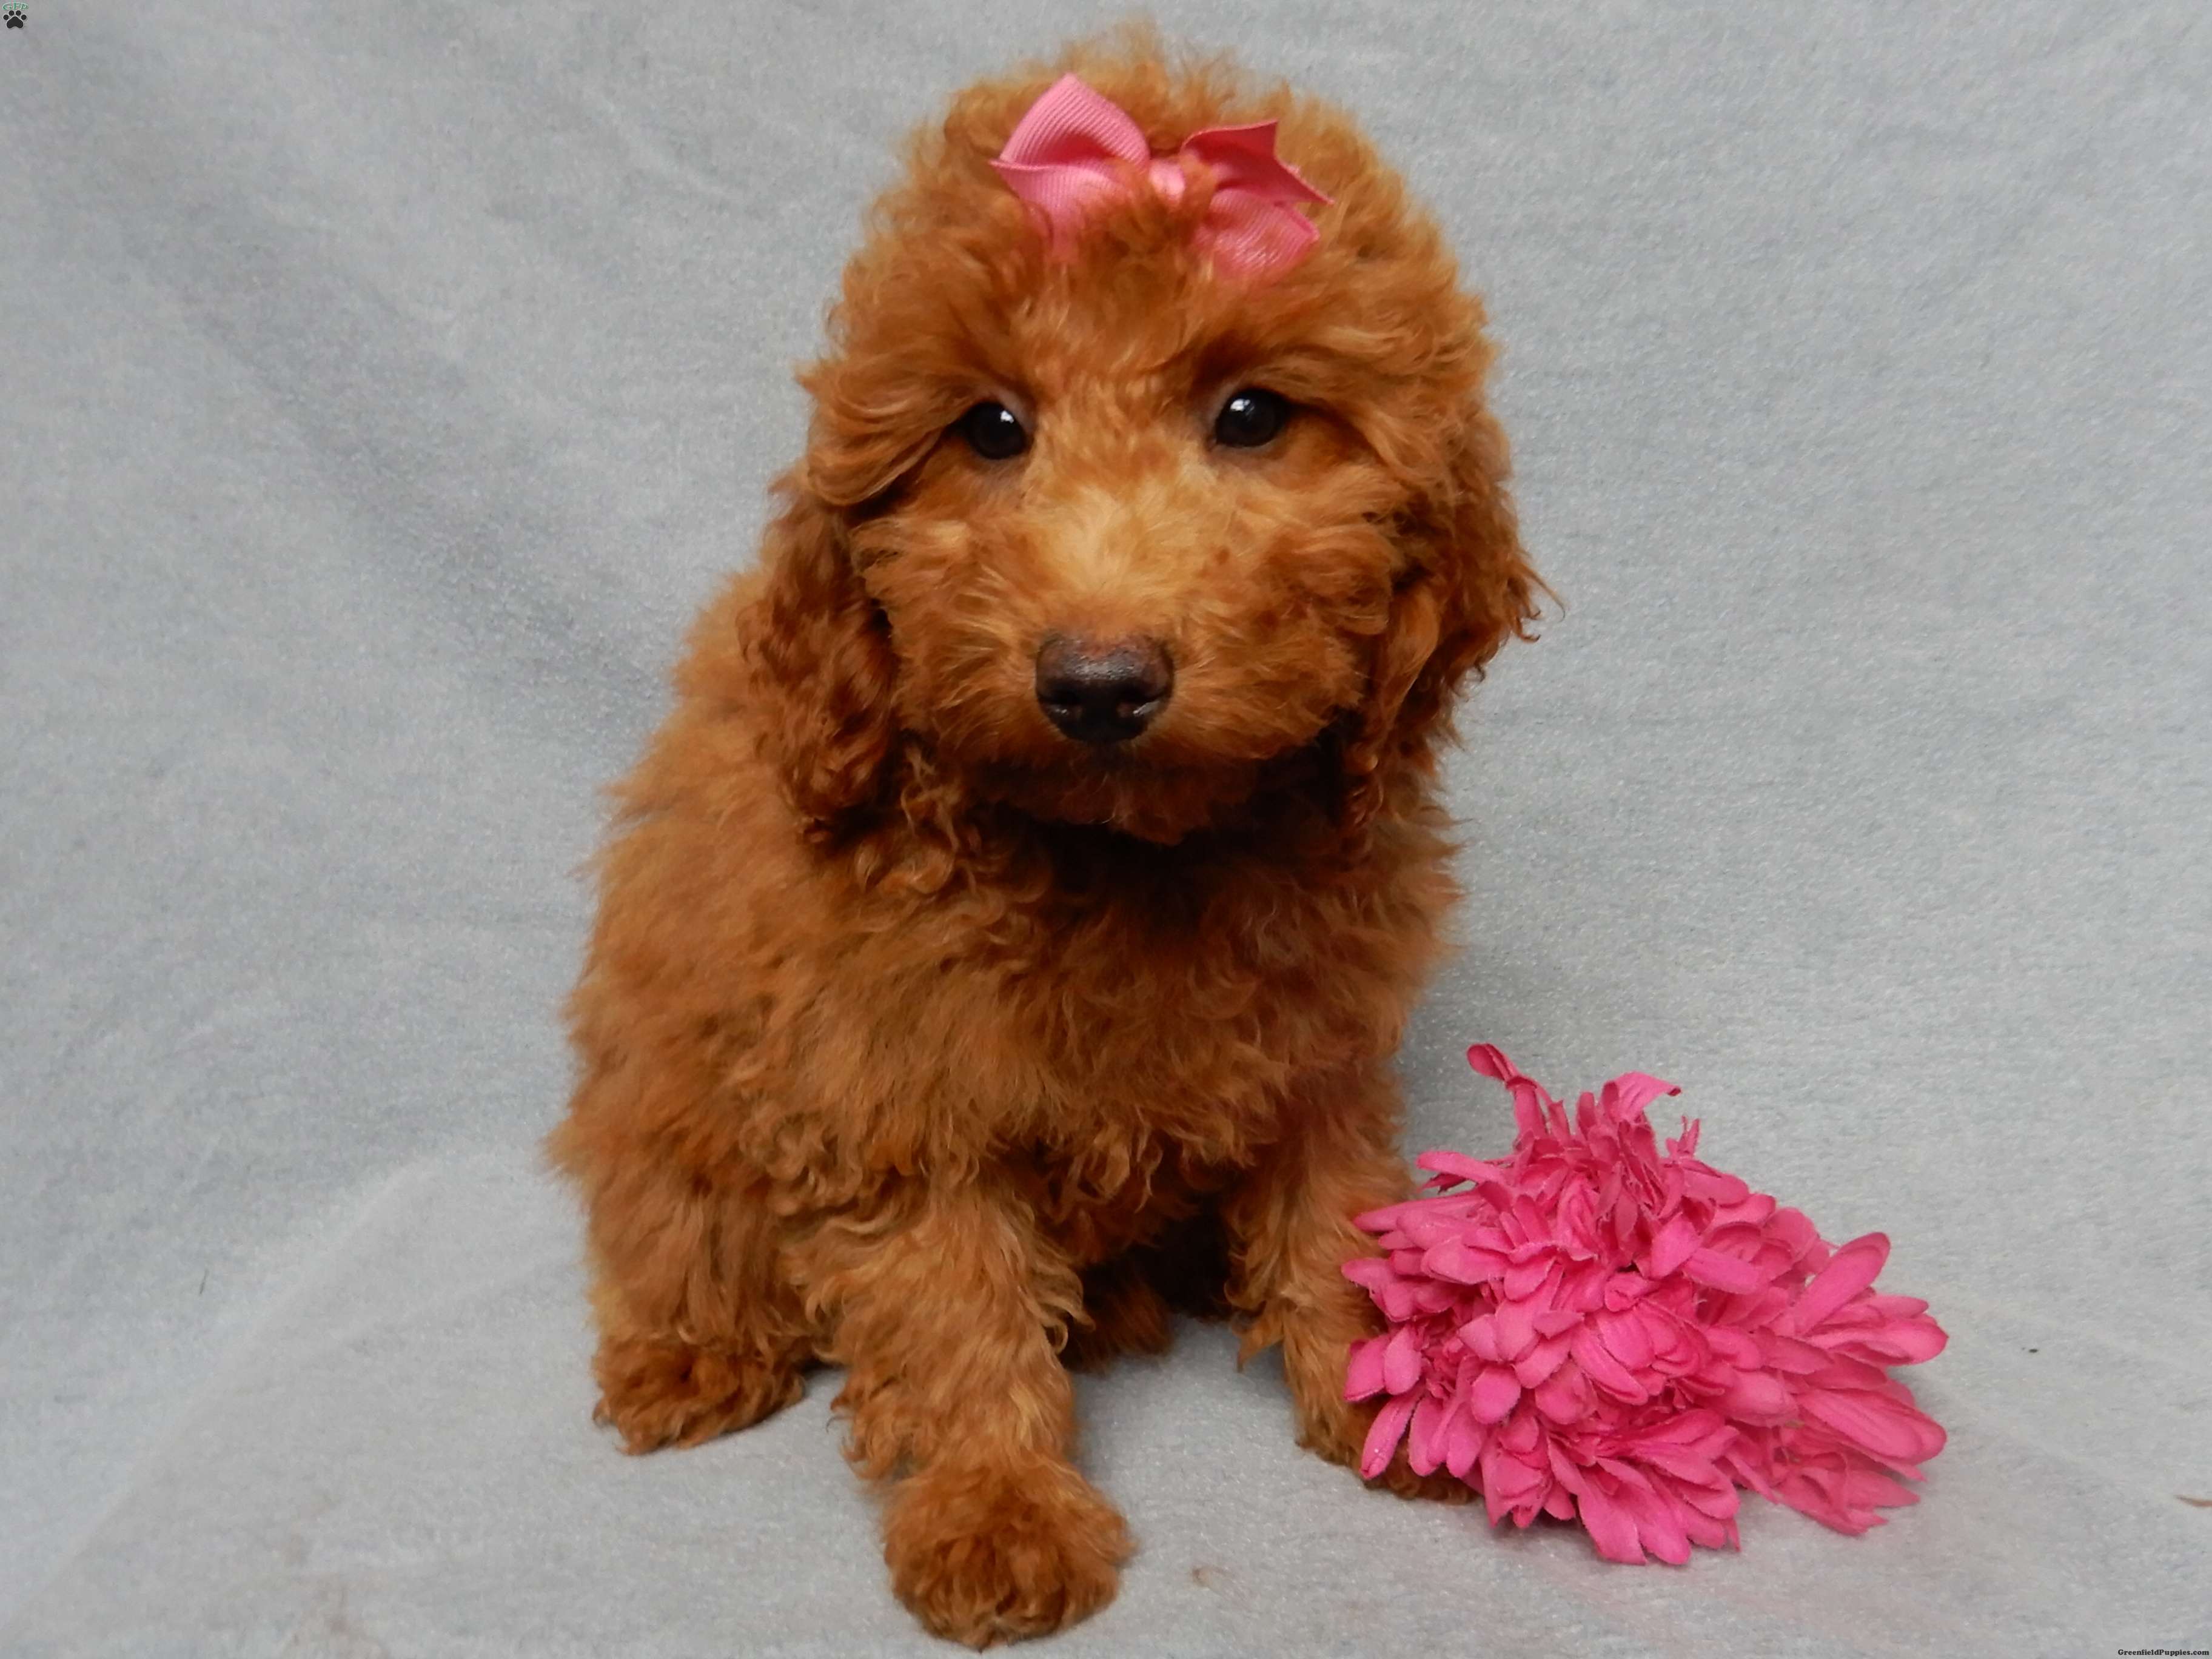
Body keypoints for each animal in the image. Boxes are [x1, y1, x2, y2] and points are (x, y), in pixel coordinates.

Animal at [549, 33, 1542, 1647]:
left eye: (1252, 416)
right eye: (990, 429)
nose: (1097, 682)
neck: (1128, 851)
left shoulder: (1316, 1046)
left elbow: (1333, 1215)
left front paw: (1389, 1390)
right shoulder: (890, 1083)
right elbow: (952, 1304)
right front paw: (997, 1508)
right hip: (665, 1089)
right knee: (667, 1218)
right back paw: (687, 1354)